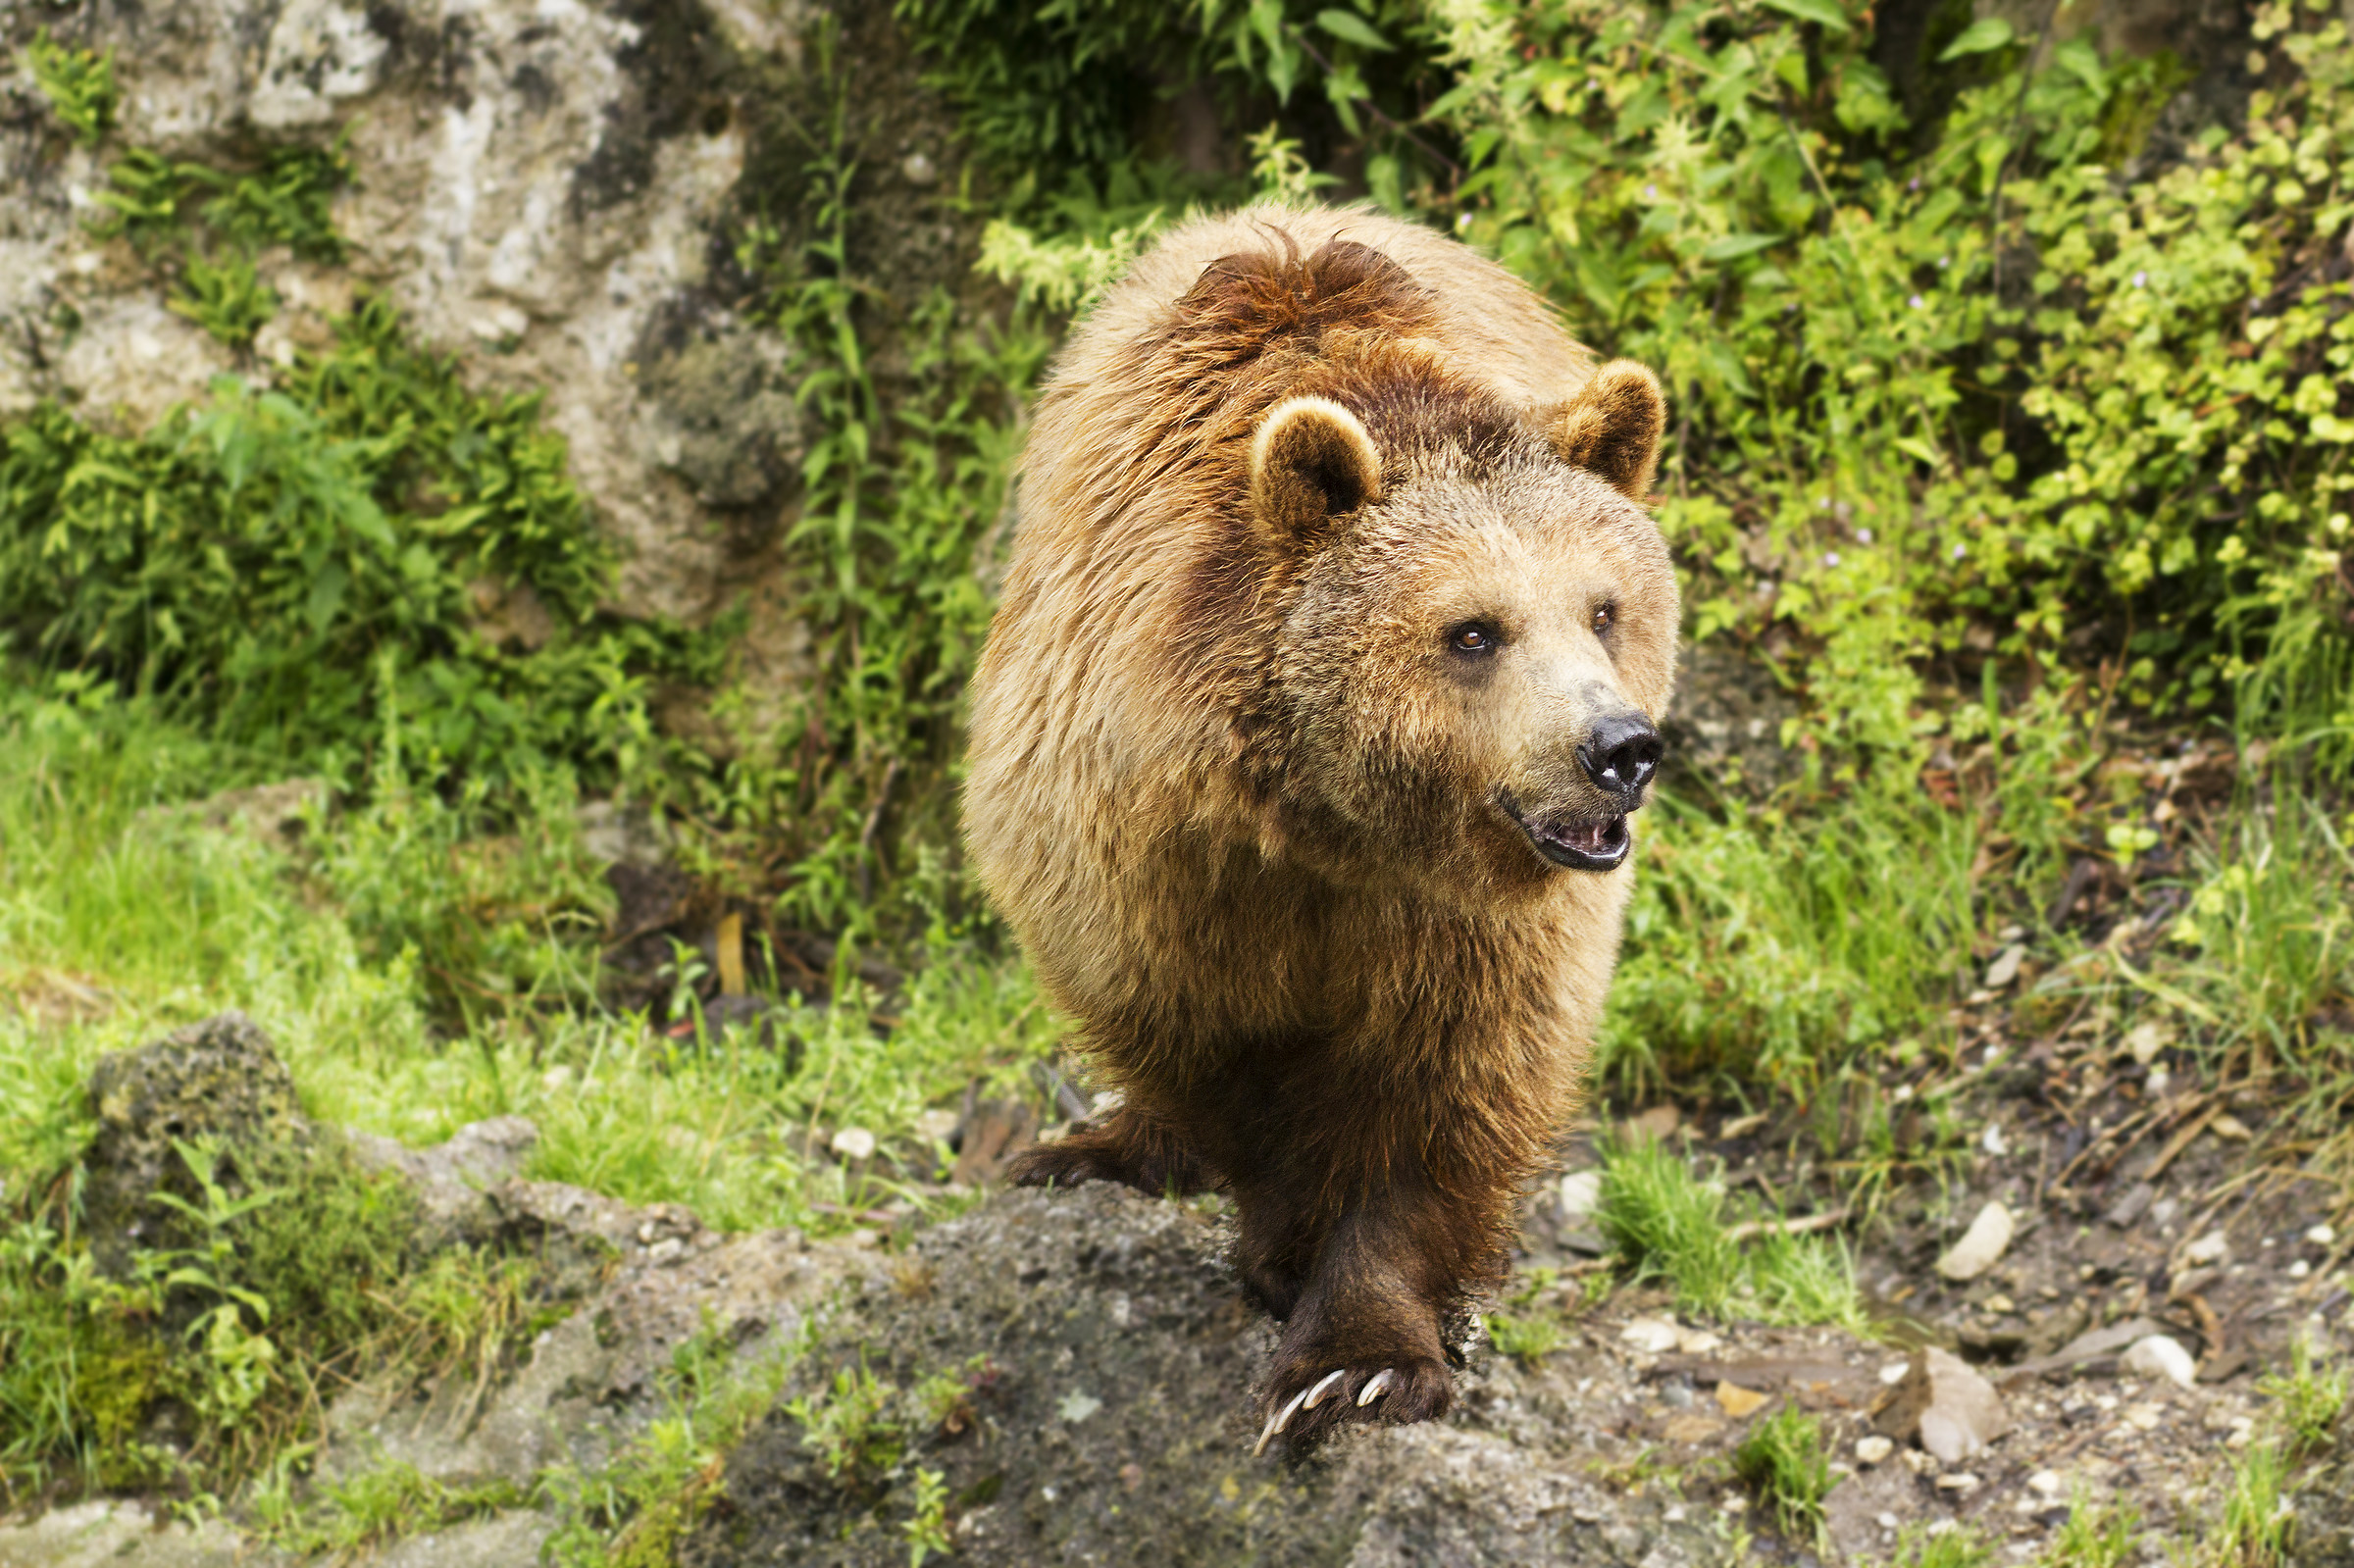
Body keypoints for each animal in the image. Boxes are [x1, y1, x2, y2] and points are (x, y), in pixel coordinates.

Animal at [961, 202, 1678, 1452]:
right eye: (1472, 631)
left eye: (1605, 607)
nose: (1617, 750)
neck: (1331, 823)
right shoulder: (1149, 856)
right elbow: (1213, 1051)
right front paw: (1285, 1249)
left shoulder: (1484, 927)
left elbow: (1452, 1088)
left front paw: (1360, 1357)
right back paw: (1084, 1151)